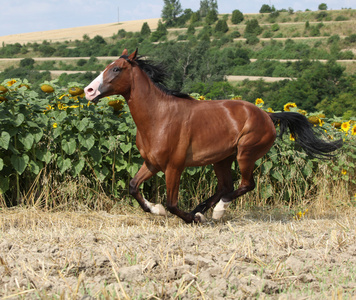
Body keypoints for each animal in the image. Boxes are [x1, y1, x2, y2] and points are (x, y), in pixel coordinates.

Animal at [85, 48, 344, 223]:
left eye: (116, 69)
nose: (89, 91)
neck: (158, 117)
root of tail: (267, 115)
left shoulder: (174, 167)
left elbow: (172, 203)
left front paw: (189, 217)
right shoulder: (152, 164)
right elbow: (133, 187)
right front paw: (158, 209)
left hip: (245, 154)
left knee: (245, 185)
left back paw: (216, 211)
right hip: (222, 159)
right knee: (225, 186)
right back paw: (201, 209)